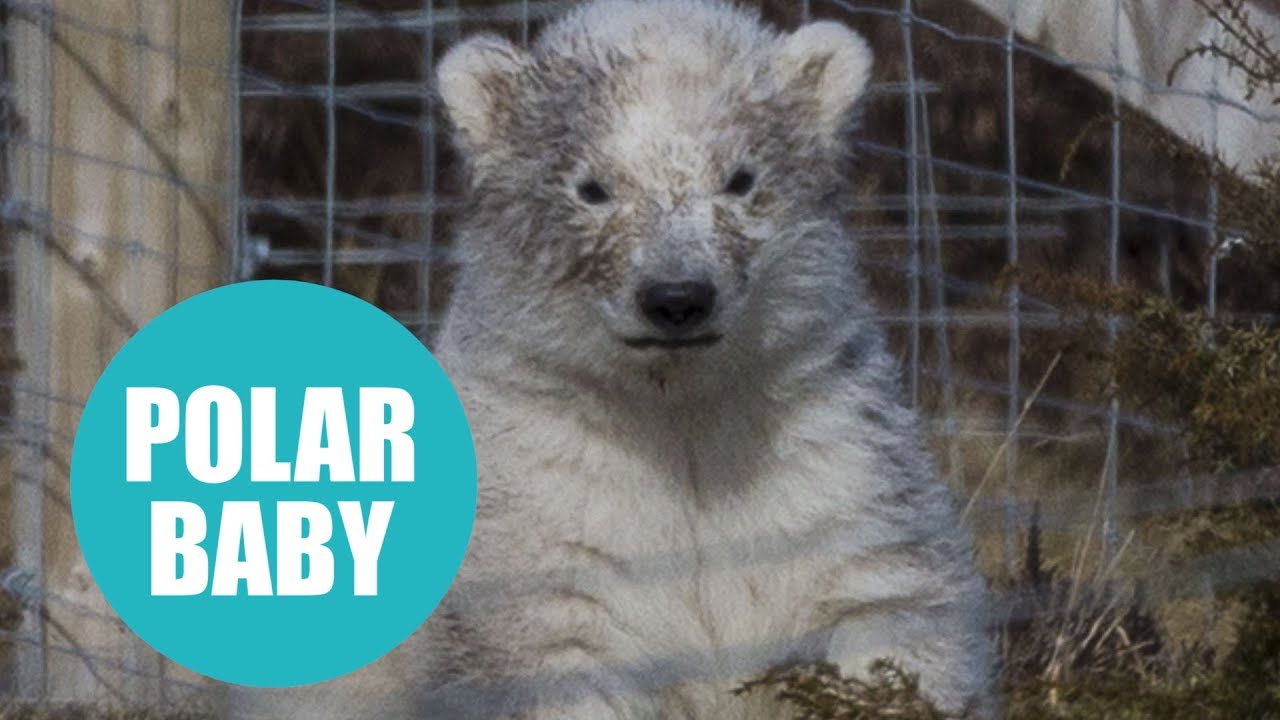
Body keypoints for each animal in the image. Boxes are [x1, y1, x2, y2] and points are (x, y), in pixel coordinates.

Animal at [229, 1, 995, 717]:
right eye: (592, 187)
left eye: (740, 178)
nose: (677, 297)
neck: (675, 409)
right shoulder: (540, 511)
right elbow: (559, 661)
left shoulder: (827, 455)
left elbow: (884, 609)